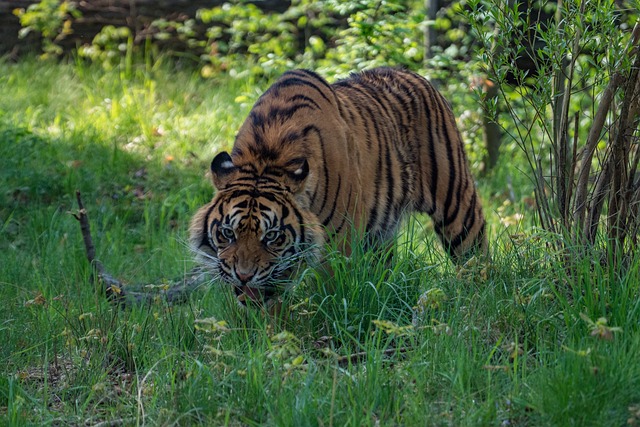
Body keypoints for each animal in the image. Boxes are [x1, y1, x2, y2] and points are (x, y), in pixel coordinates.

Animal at [189, 67, 484, 306]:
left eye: (272, 236)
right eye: (227, 233)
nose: (244, 276)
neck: (266, 157)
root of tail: (413, 74)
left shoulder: (338, 247)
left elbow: (331, 294)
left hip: (457, 208)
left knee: (475, 257)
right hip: (382, 234)